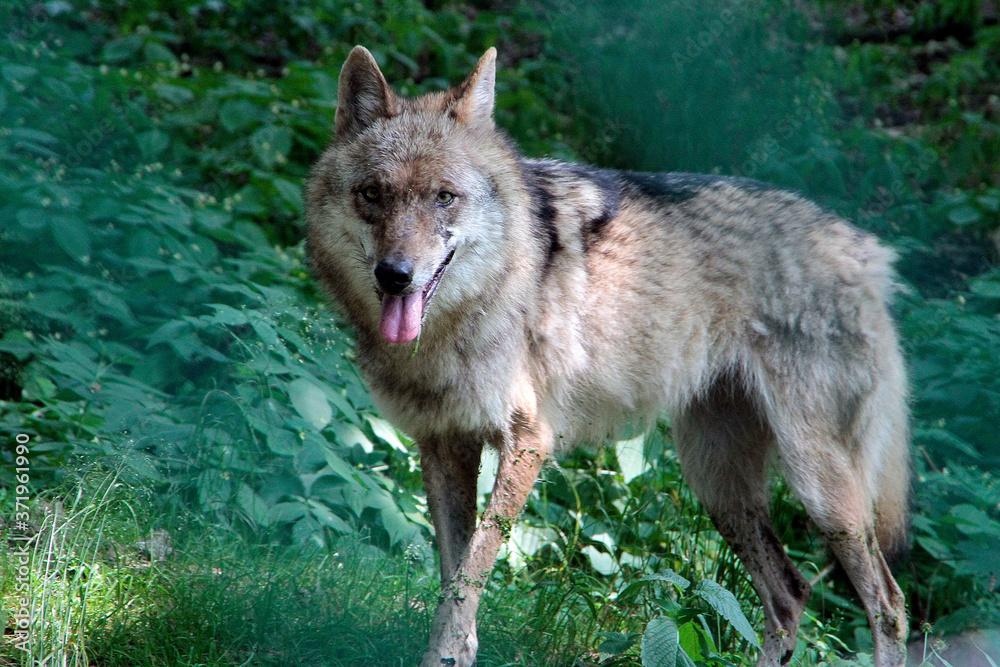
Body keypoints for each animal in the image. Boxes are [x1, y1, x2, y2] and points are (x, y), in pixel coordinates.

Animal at [306, 46, 910, 667]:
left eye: (444, 197)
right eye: (373, 194)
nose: (395, 275)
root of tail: (866, 251)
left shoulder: (528, 442)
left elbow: (468, 582)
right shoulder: (444, 444)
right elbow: (452, 578)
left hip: (821, 493)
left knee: (888, 604)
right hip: (717, 481)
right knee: (790, 594)